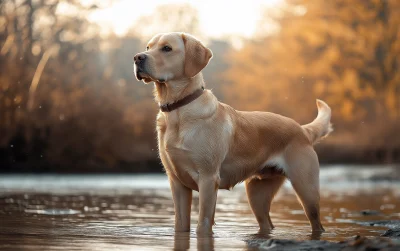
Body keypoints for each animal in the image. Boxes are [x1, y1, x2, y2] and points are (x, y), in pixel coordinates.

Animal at [134, 32, 332, 234]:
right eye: (148, 47)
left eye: (167, 48)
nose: (137, 57)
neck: (177, 111)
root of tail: (302, 129)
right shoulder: (177, 182)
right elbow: (180, 225)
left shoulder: (208, 178)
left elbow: (203, 224)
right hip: (257, 194)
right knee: (267, 223)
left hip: (306, 189)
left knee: (317, 223)